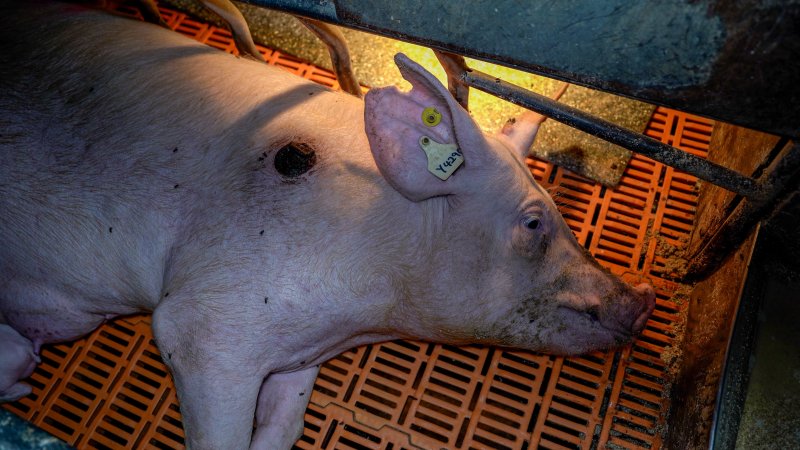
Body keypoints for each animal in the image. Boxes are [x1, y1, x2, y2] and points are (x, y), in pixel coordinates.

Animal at [0, 1, 652, 448]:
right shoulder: (208, 323)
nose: (643, 298)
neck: (370, 310)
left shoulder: (298, 352)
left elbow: (285, 424)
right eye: (534, 223)